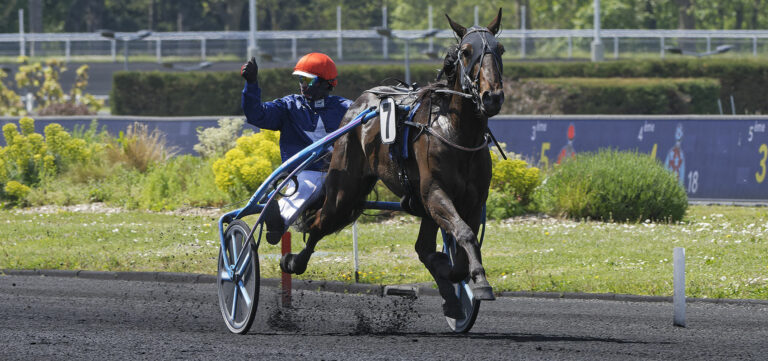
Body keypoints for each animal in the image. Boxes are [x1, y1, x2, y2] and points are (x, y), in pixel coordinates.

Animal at [280, 9, 508, 318]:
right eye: (466, 51)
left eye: (500, 49)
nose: (492, 97)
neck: (456, 132)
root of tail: (360, 102)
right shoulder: (434, 192)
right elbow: (464, 234)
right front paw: (479, 281)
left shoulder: (472, 200)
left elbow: (459, 250)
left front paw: (459, 276)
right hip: (344, 188)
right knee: (318, 223)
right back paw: (292, 262)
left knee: (422, 247)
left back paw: (450, 299)